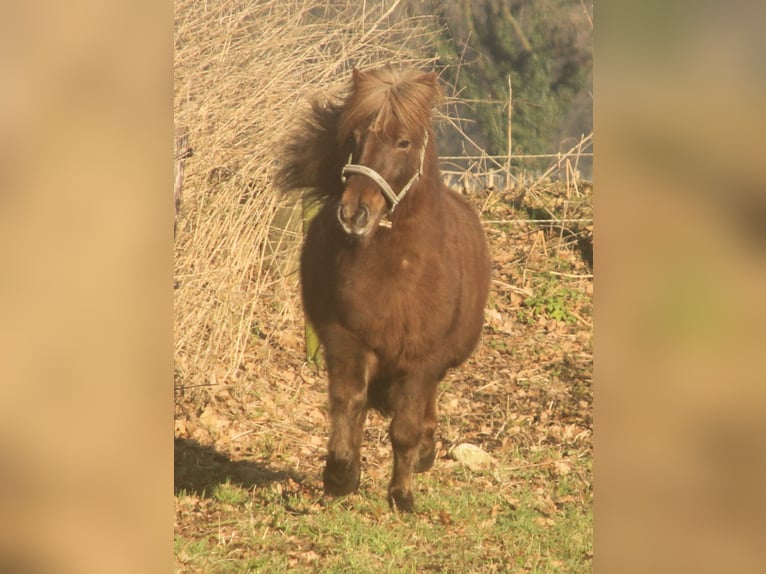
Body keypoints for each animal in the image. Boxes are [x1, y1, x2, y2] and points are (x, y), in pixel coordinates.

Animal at [276, 67, 492, 512]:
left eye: (403, 141)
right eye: (354, 138)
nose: (354, 212)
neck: (399, 270)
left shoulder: (423, 356)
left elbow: (405, 427)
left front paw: (402, 495)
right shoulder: (346, 340)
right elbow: (348, 403)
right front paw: (341, 474)